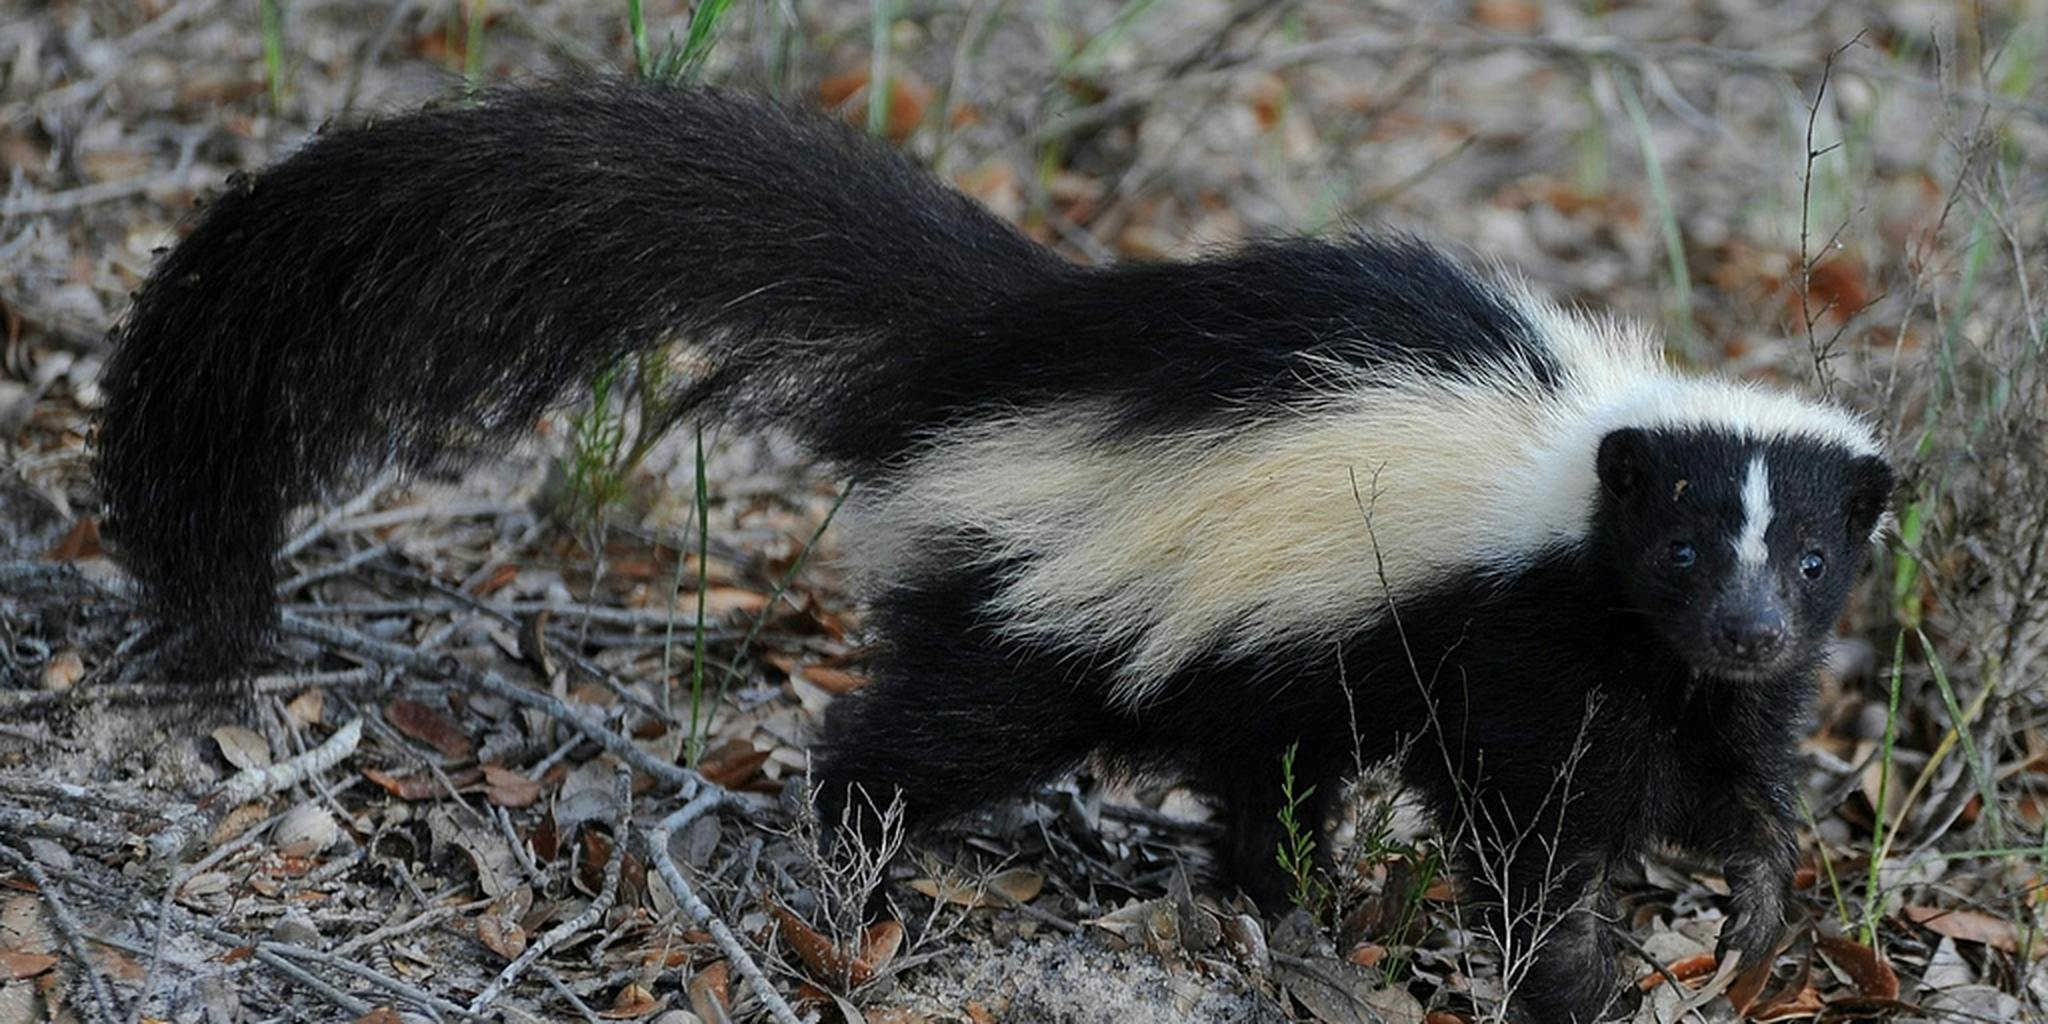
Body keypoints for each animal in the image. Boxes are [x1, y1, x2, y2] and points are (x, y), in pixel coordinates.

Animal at [96, 79, 1884, 1024]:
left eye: (1807, 563)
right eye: (1677, 550)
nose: (1741, 624)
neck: (1569, 465)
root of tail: (996, 352)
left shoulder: (1698, 686)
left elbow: (1734, 783)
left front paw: (1753, 905)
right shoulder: (1525, 632)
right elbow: (1531, 827)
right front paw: (1572, 970)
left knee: (1259, 774)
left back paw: (1276, 904)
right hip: (1047, 584)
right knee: (936, 725)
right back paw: (851, 858)